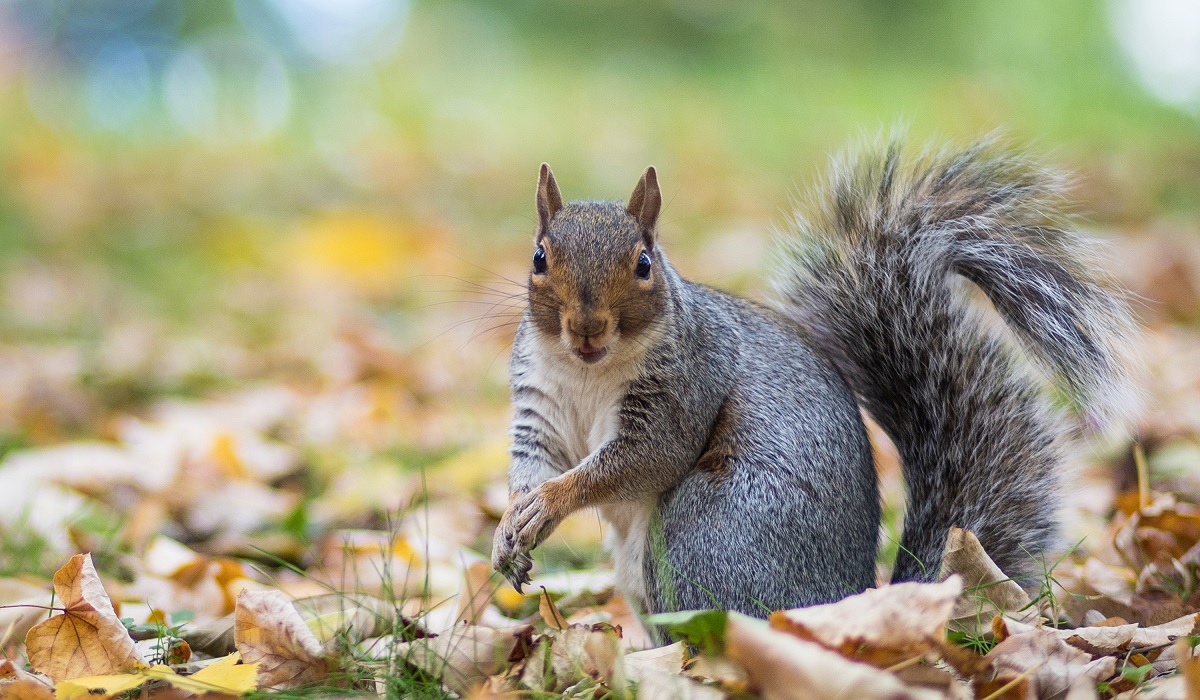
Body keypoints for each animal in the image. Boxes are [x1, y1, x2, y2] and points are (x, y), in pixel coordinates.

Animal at [484, 138, 1132, 619]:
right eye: (539, 257)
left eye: (644, 265)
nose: (586, 328)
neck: (586, 372)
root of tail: (849, 600)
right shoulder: (540, 403)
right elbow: (535, 458)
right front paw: (513, 524)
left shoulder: (685, 387)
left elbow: (641, 459)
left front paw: (550, 502)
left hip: (706, 533)